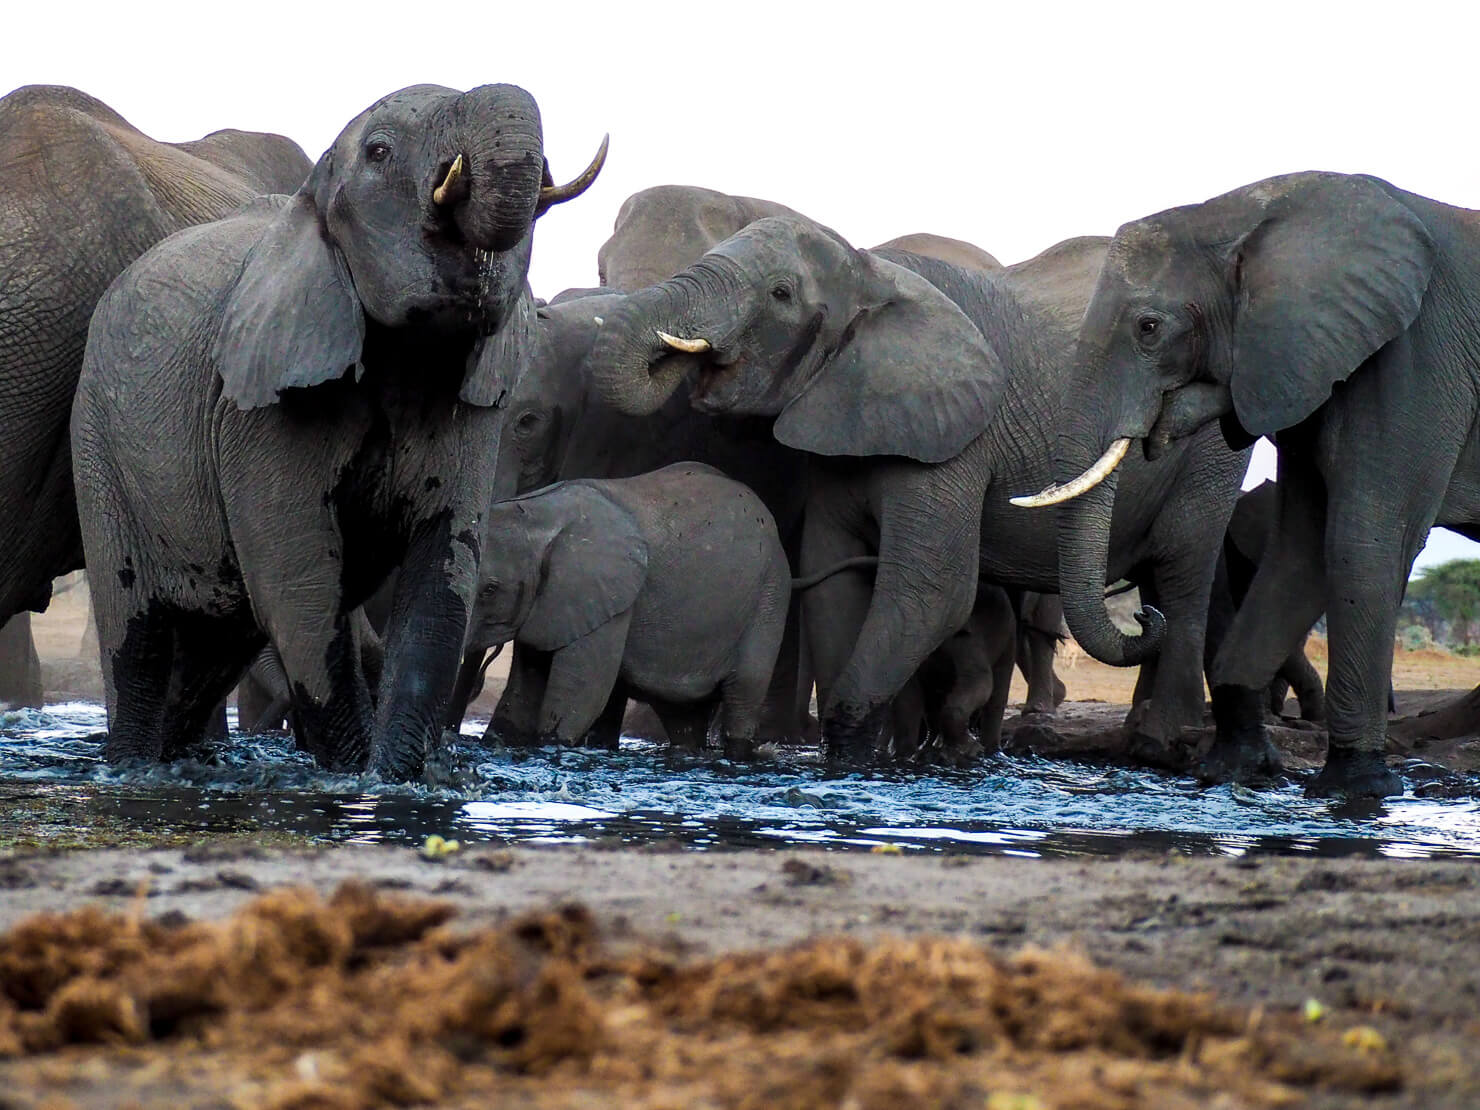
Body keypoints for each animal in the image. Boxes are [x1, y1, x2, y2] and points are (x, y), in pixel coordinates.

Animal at [69, 80, 600, 781]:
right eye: (378, 152)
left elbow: (440, 582)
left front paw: (401, 781)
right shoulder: (258, 413)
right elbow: (300, 590)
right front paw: (355, 777)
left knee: (215, 648)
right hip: (98, 447)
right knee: (141, 642)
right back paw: (135, 768)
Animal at [473, 464, 799, 763]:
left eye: (490, 589)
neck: (537, 513)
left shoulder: (607, 595)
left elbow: (583, 694)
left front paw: (551, 746)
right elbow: (527, 678)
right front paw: (497, 742)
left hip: (770, 593)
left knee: (744, 690)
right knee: (681, 716)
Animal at [583, 213, 1243, 763]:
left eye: (780, 294)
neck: (871, 271)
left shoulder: (957, 435)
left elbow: (932, 588)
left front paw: (853, 752)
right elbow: (833, 575)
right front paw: (862, 761)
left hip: (1211, 442)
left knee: (1183, 570)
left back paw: (1160, 744)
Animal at [1030, 169, 1480, 799]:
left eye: (1149, 328)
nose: (1146, 617)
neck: (1242, 213)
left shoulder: (1415, 359)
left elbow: (1362, 540)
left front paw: (1360, 788)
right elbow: (1301, 550)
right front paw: (1234, 769)